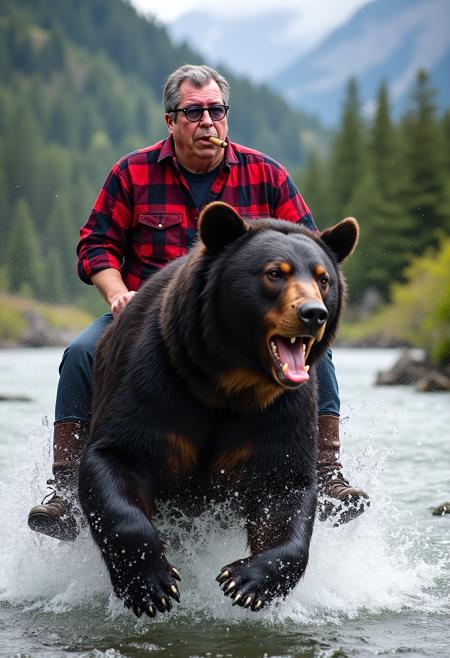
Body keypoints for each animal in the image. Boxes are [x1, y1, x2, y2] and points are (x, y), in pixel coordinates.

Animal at [77, 200, 358, 616]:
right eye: (275, 273)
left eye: (324, 279)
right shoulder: (157, 383)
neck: (228, 382)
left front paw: (246, 581)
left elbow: (285, 489)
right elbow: (117, 459)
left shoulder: (279, 411)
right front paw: (151, 584)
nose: (313, 313)